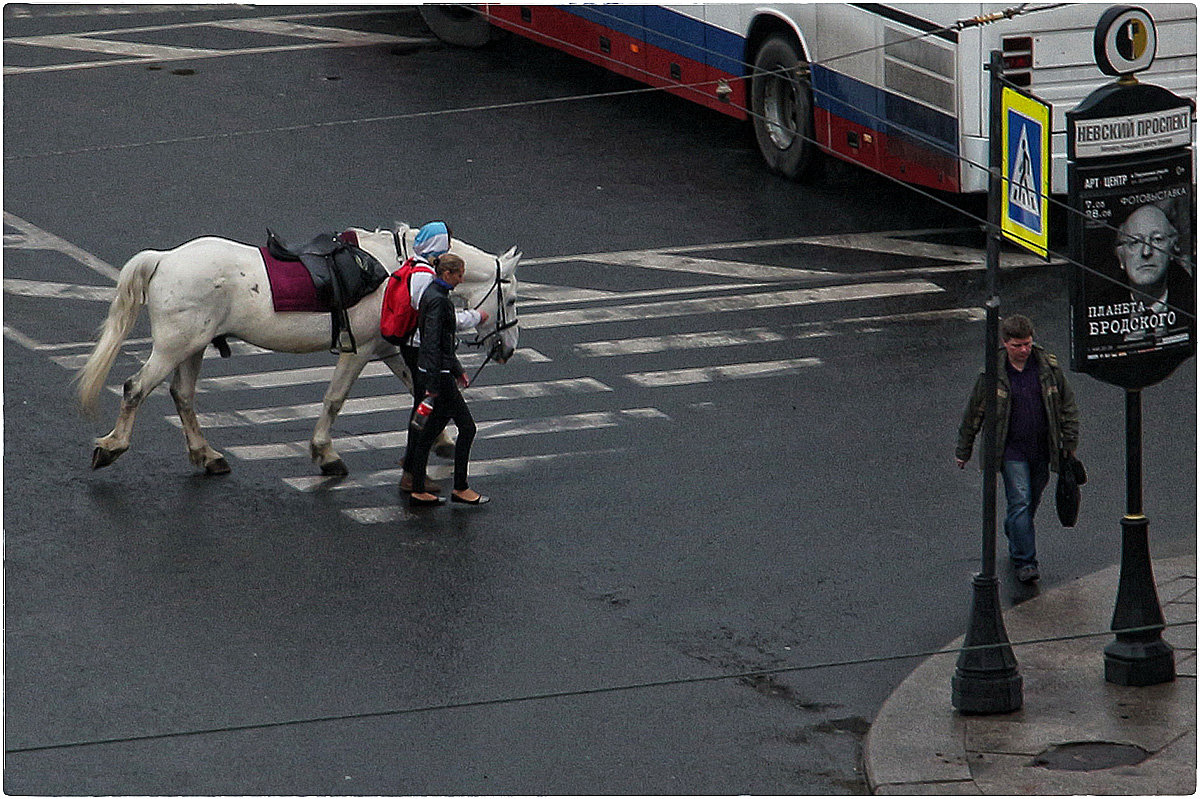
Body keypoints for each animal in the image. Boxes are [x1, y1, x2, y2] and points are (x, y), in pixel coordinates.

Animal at [75, 220, 520, 475]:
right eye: (513, 299)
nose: (509, 350)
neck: (397, 268)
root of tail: (164, 259)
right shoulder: (358, 351)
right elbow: (335, 400)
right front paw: (325, 453)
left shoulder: (389, 350)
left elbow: (417, 386)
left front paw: (441, 437)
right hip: (174, 347)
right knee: (136, 388)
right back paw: (111, 447)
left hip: (192, 347)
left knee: (182, 396)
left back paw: (207, 455)